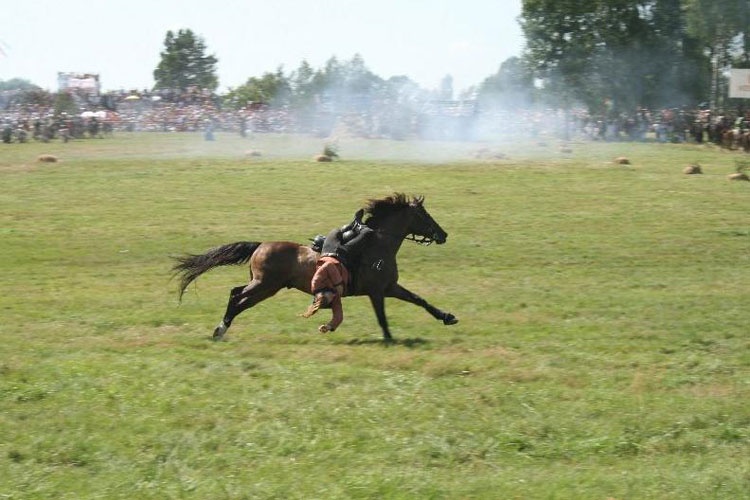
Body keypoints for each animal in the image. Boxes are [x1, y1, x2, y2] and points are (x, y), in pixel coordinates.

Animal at [172, 193, 458, 341]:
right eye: (424, 215)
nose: (443, 234)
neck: (377, 244)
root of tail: (260, 245)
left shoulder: (390, 287)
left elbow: (420, 300)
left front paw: (447, 317)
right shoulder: (377, 291)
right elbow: (382, 316)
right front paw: (389, 339)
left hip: (266, 287)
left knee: (240, 297)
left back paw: (222, 329)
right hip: (264, 284)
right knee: (235, 295)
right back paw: (220, 329)